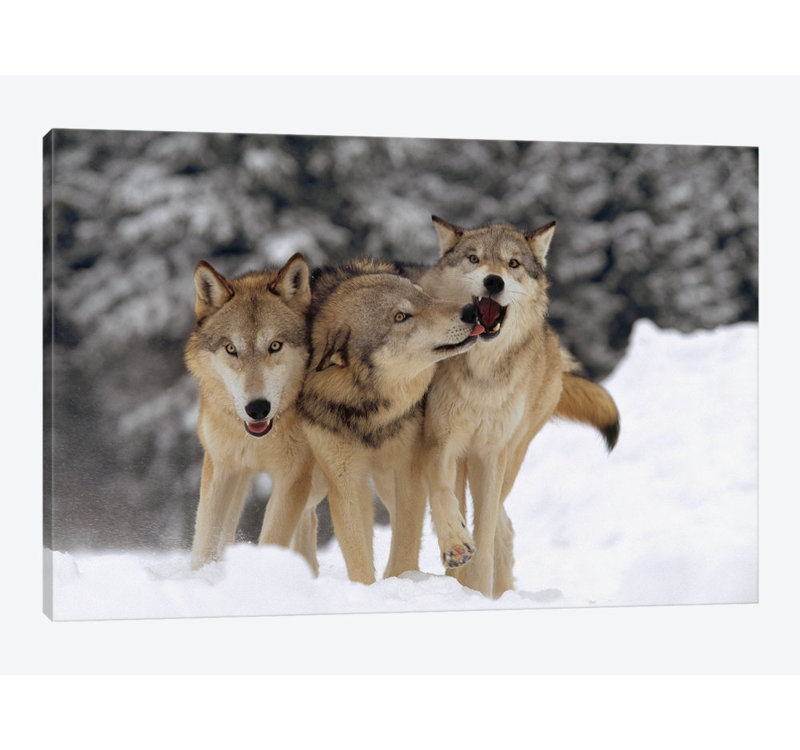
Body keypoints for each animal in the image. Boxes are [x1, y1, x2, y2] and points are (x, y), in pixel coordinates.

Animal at [184, 253, 325, 572]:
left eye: (275, 345)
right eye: (231, 349)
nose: (258, 408)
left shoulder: (293, 477)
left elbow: (273, 538)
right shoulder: (221, 468)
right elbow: (206, 539)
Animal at [296, 259, 482, 585]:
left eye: (424, 296)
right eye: (401, 317)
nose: (471, 310)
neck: (370, 411)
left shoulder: (405, 469)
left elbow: (406, 542)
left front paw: (402, 579)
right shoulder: (344, 480)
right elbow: (358, 554)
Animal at [418, 217, 620, 598]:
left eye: (513, 264)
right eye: (474, 259)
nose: (493, 281)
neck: (482, 375)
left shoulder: (491, 452)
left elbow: (484, 535)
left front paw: (478, 591)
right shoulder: (442, 442)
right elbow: (442, 494)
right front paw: (455, 550)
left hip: (511, 456)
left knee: (500, 524)